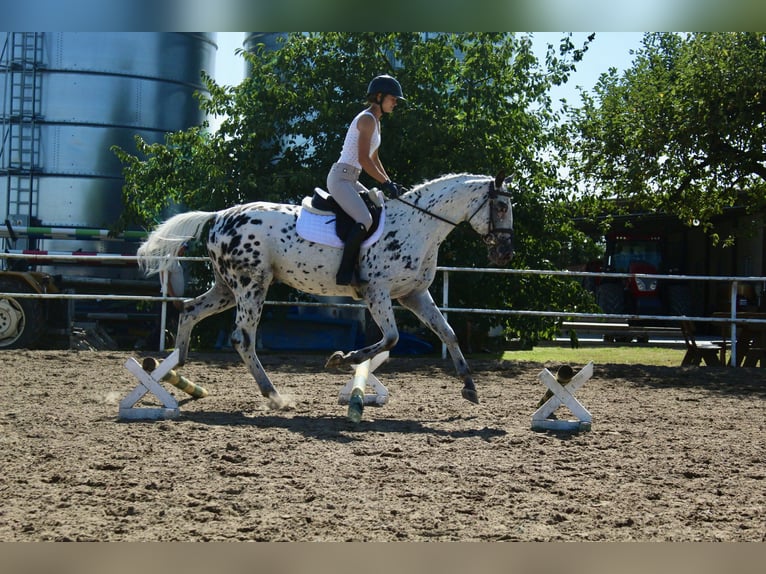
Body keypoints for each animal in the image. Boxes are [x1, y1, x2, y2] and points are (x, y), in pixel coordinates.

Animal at [138, 172, 516, 414]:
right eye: (500, 207)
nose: (504, 253)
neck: (418, 226)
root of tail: (219, 216)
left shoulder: (414, 295)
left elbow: (448, 333)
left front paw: (469, 386)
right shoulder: (377, 292)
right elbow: (391, 338)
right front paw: (342, 358)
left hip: (226, 287)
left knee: (189, 309)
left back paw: (176, 365)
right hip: (251, 284)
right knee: (242, 338)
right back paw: (273, 395)